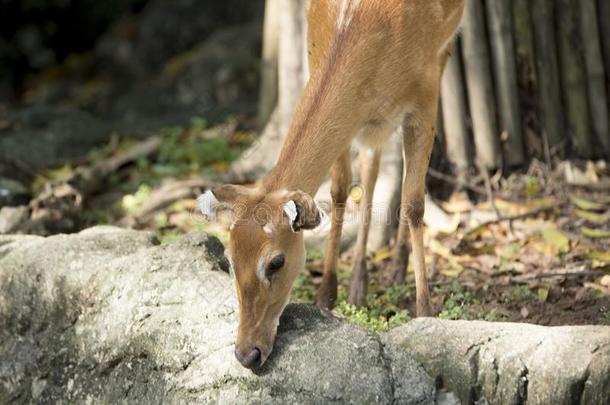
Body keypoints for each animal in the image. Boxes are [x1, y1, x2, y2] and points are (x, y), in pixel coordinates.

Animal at [197, 0, 464, 368]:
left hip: (441, 60)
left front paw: (425, 313)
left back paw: (396, 269)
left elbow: (413, 204)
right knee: (371, 167)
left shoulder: (423, 93)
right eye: (229, 259)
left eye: (276, 262)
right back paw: (361, 284)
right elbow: (339, 189)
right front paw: (326, 294)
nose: (247, 353)